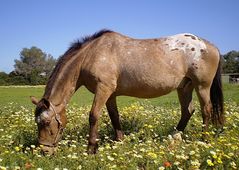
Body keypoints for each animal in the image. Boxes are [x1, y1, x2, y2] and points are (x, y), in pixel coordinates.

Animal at [30, 29, 224, 154]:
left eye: (46, 123)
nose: (44, 151)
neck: (91, 54)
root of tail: (211, 46)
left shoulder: (103, 89)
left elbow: (93, 116)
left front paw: (91, 149)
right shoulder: (110, 94)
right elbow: (114, 117)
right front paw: (119, 142)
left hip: (202, 86)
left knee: (206, 110)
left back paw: (204, 140)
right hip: (184, 87)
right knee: (188, 111)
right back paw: (174, 137)